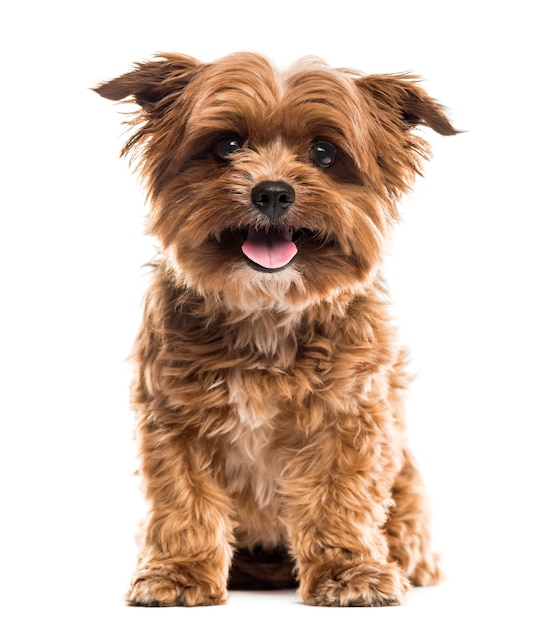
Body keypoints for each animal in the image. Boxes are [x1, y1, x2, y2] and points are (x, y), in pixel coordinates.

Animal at [95, 52, 458, 604]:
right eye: (226, 146)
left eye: (324, 153)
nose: (271, 191)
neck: (266, 311)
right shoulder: (175, 421)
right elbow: (184, 500)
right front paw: (180, 573)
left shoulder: (348, 419)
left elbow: (340, 498)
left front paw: (348, 572)